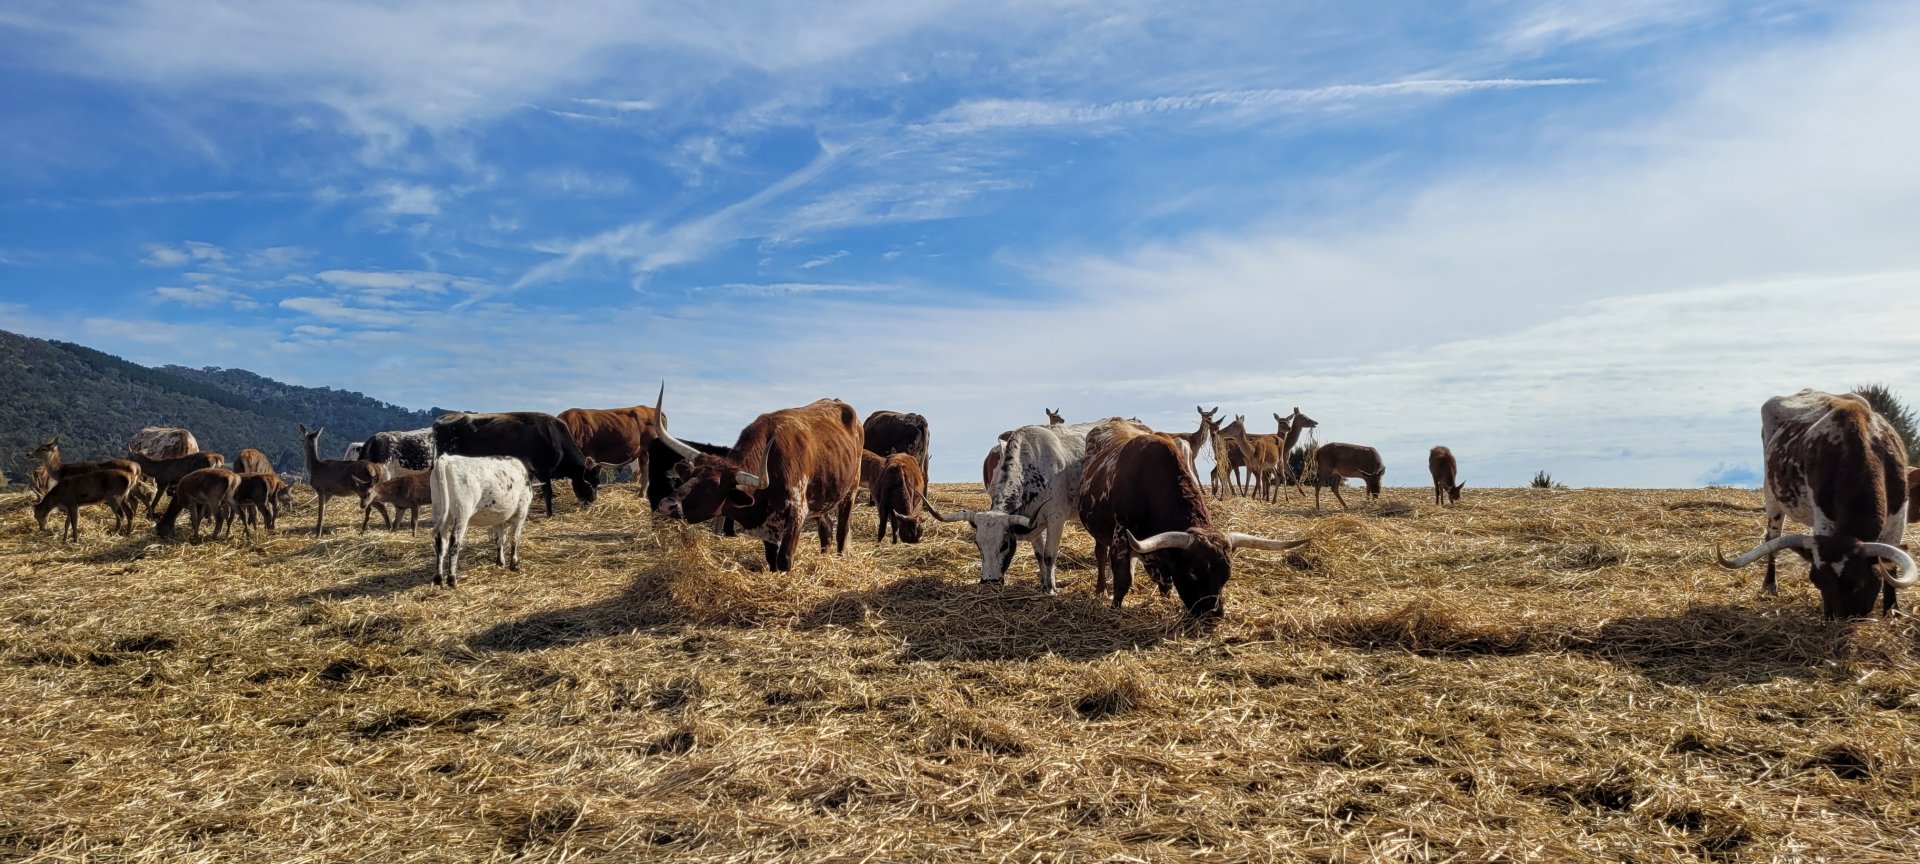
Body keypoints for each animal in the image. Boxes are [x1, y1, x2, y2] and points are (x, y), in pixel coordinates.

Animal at [432, 411, 598, 517]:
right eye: (590, 481)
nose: (593, 500)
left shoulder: (529, 471)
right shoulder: (543, 470)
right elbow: (548, 492)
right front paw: (550, 513)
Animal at [654, 395, 864, 572]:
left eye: (713, 486)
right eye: (689, 475)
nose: (667, 504)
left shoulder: (797, 514)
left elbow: (784, 561)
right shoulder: (768, 525)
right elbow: (772, 560)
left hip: (850, 491)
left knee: (842, 530)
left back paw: (838, 558)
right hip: (822, 499)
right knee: (826, 528)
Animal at [927, 420, 1095, 593]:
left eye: (1004, 545)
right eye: (978, 544)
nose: (989, 581)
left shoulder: (1056, 519)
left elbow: (1049, 556)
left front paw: (1051, 589)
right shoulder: (1033, 521)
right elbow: (1039, 554)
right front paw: (1043, 584)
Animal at [1077, 419, 1305, 620]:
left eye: (1227, 574)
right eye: (1193, 572)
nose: (1214, 615)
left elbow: (1165, 581)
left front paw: (1166, 599)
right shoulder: (1121, 536)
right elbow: (1123, 579)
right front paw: (1114, 609)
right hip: (1099, 532)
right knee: (1100, 554)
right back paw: (1100, 589)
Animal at [1715, 390, 1916, 618]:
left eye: (1857, 584)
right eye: (1816, 581)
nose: (1836, 620)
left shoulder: (1898, 519)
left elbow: (1890, 566)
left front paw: (1893, 610)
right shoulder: (1823, 522)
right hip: (1771, 496)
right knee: (1772, 538)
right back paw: (1770, 585)